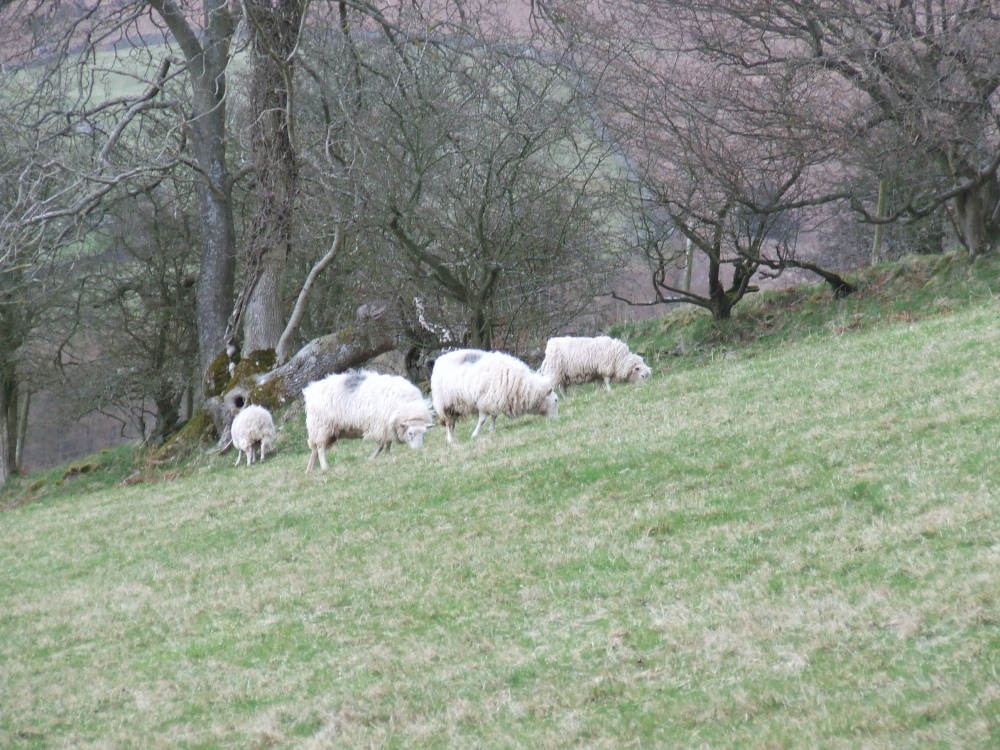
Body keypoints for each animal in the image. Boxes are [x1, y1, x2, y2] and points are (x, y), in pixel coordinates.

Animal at [303, 369, 433, 471]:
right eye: (410, 433)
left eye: (424, 434)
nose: (418, 451)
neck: (408, 406)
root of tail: (311, 390)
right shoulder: (380, 425)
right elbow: (381, 445)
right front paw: (371, 458)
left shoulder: (388, 426)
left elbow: (388, 443)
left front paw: (387, 456)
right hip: (322, 426)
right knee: (320, 448)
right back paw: (325, 467)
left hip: (324, 430)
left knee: (315, 448)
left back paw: (309, 470)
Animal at [431, 349, 559, 444]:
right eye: (556, 400)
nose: (557, 419)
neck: (522, 386)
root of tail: (439, 360)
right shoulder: (484, 400)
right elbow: (482, 420)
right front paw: (475, 434)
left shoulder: (494, 400)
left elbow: (494, 416)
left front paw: (492, 430)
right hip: (446, 404)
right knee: (449, 423)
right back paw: (451, 439)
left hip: (455, 405)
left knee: (452, 423)